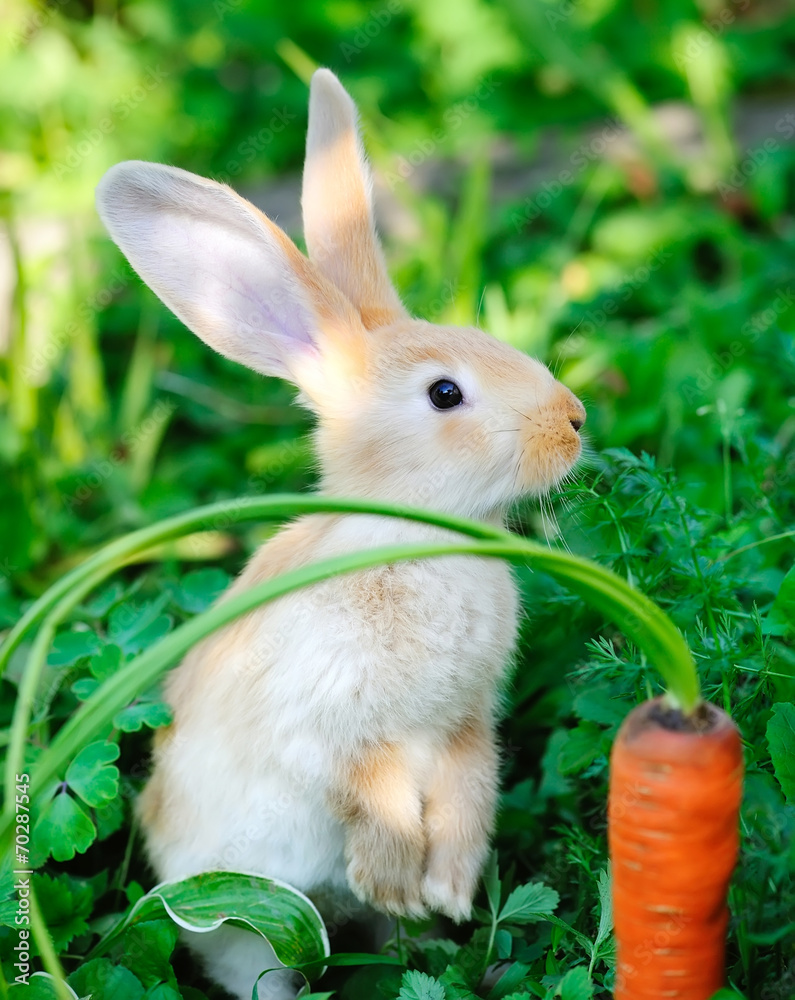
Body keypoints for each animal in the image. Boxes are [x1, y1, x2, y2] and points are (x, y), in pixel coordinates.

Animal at [95, 68, 586, 1000]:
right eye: (443, 394)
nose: (574, 420)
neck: (412, 537)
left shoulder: (466, 722)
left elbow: (469, 789)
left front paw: (450, 890)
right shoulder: (339, 729)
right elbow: (376, 795)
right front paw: (397, 877)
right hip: (246, 920)